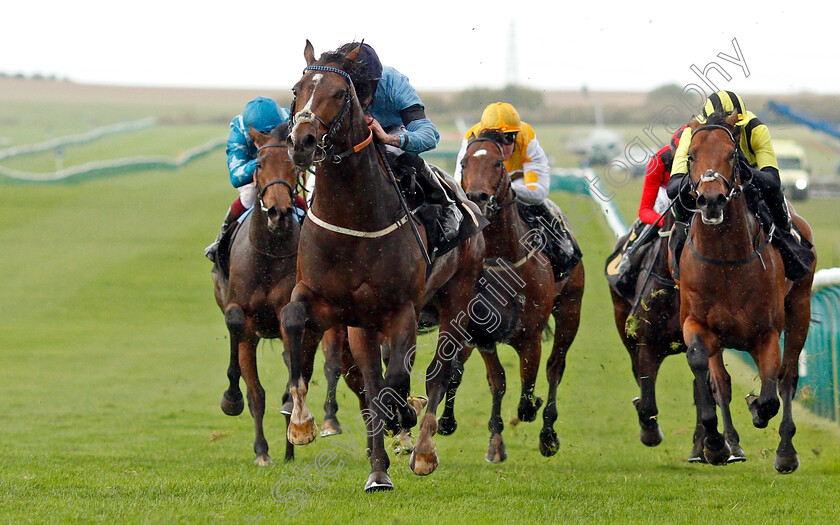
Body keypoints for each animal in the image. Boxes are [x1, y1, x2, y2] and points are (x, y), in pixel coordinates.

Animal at [210, 125, 360, 464]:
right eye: (260, 163)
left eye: (293, 166)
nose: (279, 213)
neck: (268, 252)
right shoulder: (244, 319)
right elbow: (254, 389)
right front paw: (235, 405)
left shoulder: (288, 313)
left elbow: (295, 372)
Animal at [282, 42, 486, 492]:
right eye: (297, 89)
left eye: (341, 93)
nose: (302, 141)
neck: (356, 219)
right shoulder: (327, 301)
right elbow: (293, 321)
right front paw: (302, 423)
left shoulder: (401, 309)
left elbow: (396, 382)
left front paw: (405, 415)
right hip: (364, 323)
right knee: (375, 383)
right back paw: (380, 467)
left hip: (457, 300)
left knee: (437, 371)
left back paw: (421, 448)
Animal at [446, 137, 584, 460]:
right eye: (464, 163)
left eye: (498, 163)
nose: (478, 196)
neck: (503, 255)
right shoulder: (479, 332)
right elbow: (497, 381)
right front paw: (495, 442)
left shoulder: (530, 335)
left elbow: (528, 385)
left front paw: (532, 412)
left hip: (570, 309)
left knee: (555, 368)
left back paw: (548, 435)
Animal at [608, 215, 744, 460]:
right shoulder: (647, 342)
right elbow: (647, 391)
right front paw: (649, 429)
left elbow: (706, 389)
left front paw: (706, 445)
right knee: (638, 372)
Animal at [676, 111, 812, 470]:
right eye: (691, 155)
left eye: (731, 155)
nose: (711, 200)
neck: (726, 262)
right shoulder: (696, 323)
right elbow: (704, 369)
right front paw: (714, 443)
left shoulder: (767, 332)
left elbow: (770, 393)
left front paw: (757, 409)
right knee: (721, 381)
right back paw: (730, 444)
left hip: (800, 307)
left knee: (787, 377)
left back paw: (785, 451)